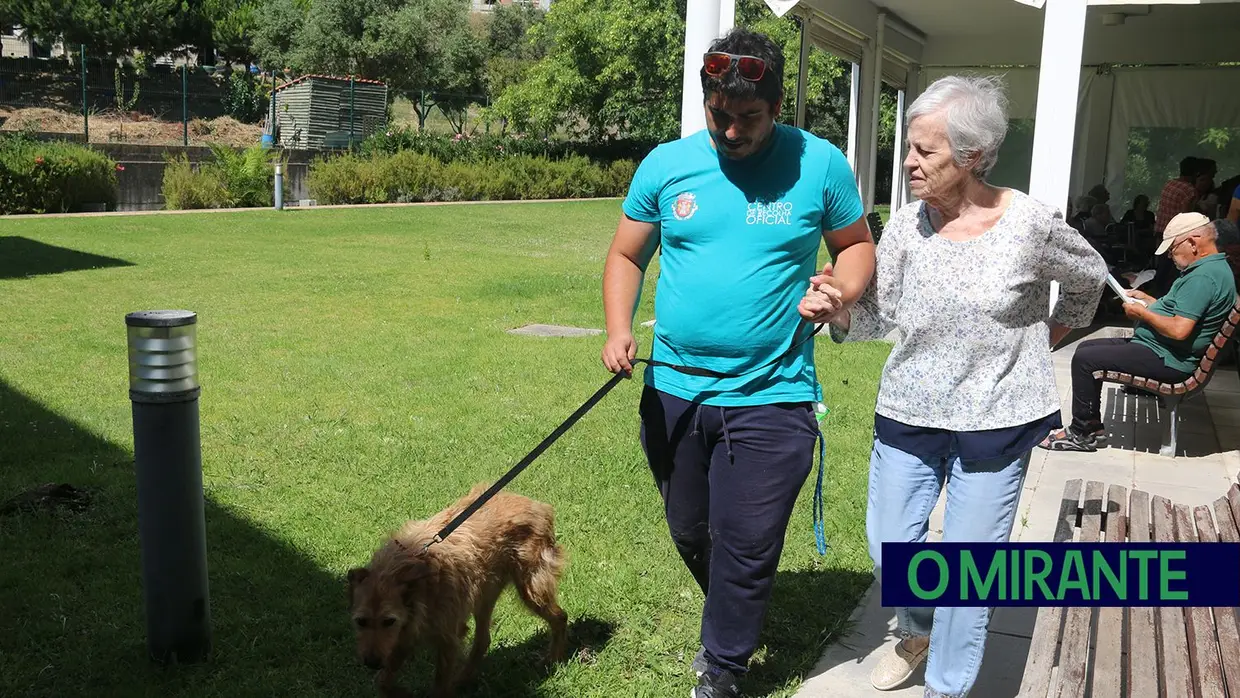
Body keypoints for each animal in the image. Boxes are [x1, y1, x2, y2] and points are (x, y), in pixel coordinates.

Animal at [344, 485, 567, 698]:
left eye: (388, 621)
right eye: (360, 621)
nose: (371, 663)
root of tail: (539, 506)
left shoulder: (448, 639)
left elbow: (440, 687)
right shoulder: (403, 635)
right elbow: (382, 681)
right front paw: (401, 693)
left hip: (532, 590)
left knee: (560, 617)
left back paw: (553, 660)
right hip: (485, 594)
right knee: (483, 640)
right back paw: (463, 678)